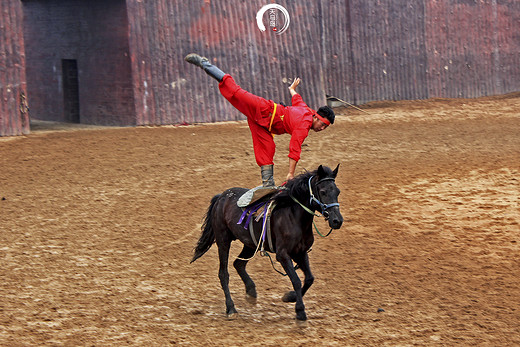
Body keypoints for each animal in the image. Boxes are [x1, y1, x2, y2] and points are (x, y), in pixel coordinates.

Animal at [189, 164, 344, 322]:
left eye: (337, 191)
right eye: (323, 192)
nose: (337, 221)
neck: (293, 217)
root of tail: (221, 197)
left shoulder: (300, 253)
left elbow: (309, 279)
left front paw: (290, 297)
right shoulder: (283, 255)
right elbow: (296, 280)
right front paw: (300, 311)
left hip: (250, 244)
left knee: (238, 263)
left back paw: (251, 291)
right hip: (223, 241)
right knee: (223, 273)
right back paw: (231, 308)